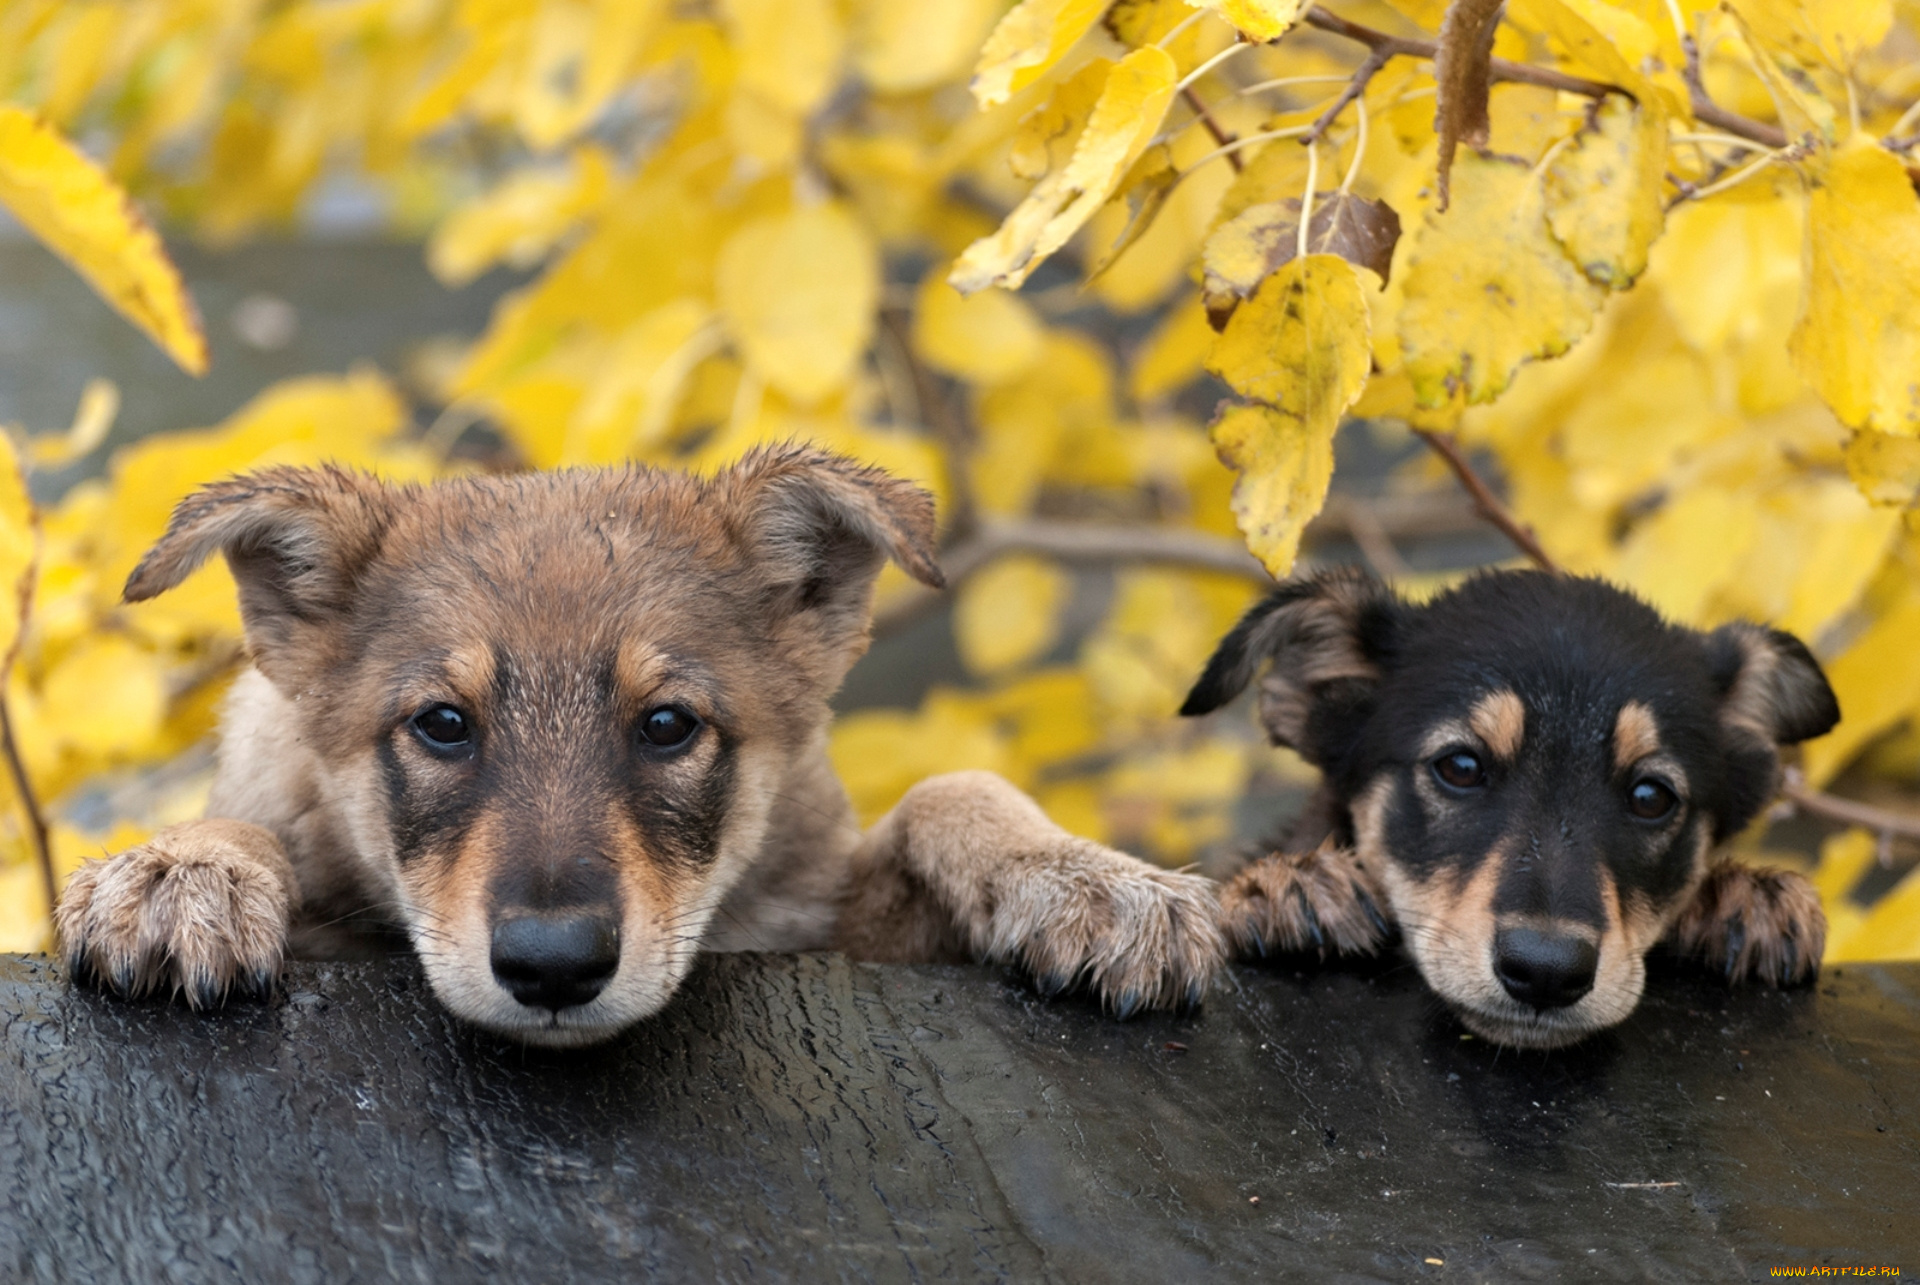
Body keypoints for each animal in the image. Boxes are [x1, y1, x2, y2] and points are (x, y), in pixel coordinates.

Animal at [67, 449, 1228, 1044]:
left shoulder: (819, 914)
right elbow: (245, 827)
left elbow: (956, 785)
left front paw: (1087, 877)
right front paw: (185, 871)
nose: (552, 967)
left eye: (667, 725)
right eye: (443, 723)